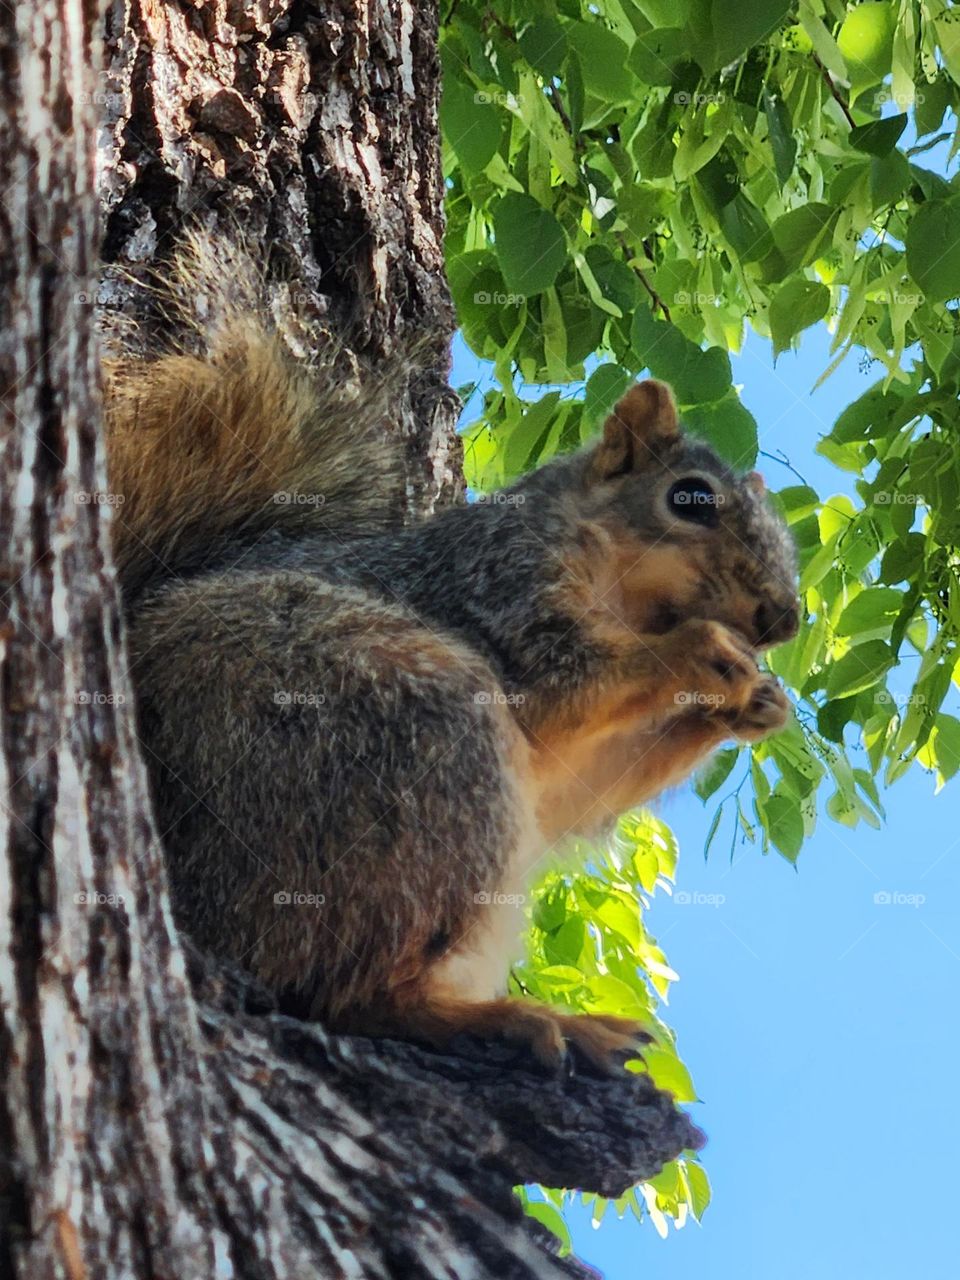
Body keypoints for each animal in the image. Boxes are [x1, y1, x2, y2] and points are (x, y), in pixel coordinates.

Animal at [105, 239, 799, 1071]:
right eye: (690, 499)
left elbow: (585, 783)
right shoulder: (500, 588)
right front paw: (703, 652)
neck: (628, 599)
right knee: (347, 996)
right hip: (413, 743)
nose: (784, 619)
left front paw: (759, 705)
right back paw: (514, 1021)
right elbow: (570, 685)